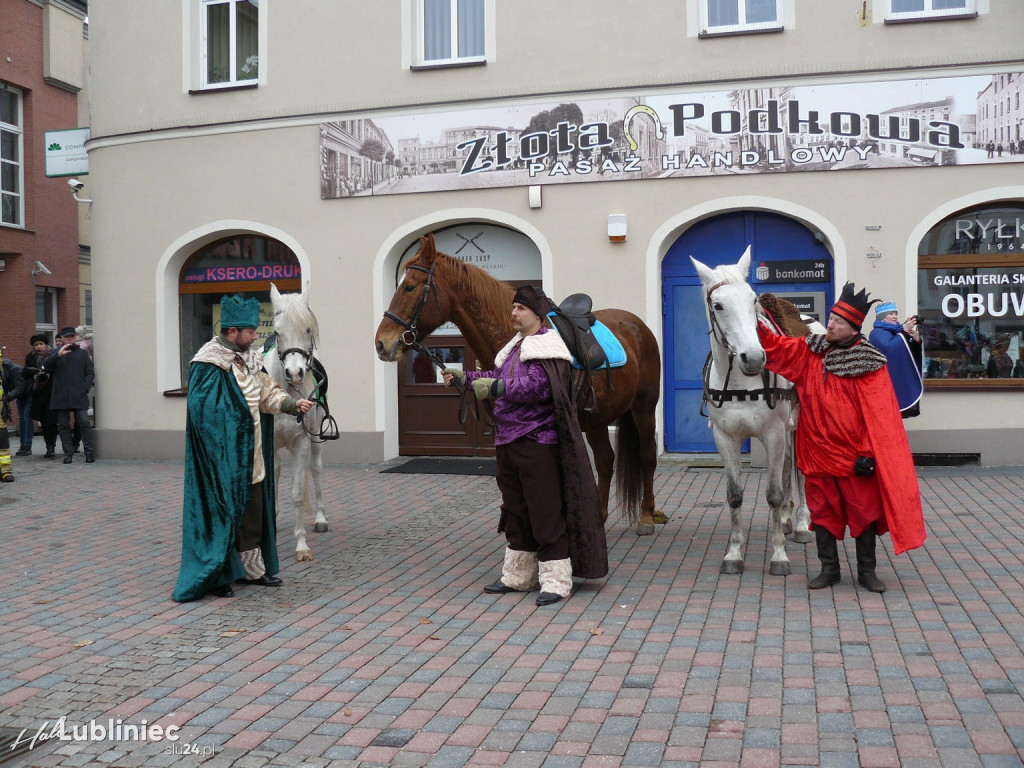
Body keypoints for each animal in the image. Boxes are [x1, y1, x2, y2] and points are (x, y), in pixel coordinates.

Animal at [372, 234, 659, 536]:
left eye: (409, 287)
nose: (382, 343)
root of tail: (636, 325)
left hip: (644, 408)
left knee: (647, 456)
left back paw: (646, 517)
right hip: (597, 418)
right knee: (605, 461)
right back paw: (600, 519)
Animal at [688, 247, 815, 577]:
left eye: (752, 299)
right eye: (718, 305)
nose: (755, 358)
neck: (739, 382)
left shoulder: (774, 433)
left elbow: (773, 494)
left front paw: (779, 555)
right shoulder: (725, 438)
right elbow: (734, 495)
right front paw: (734, 553)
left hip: (797, 426)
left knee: (798, 470)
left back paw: (800, 523)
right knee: (786, 466)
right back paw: (786, 518)